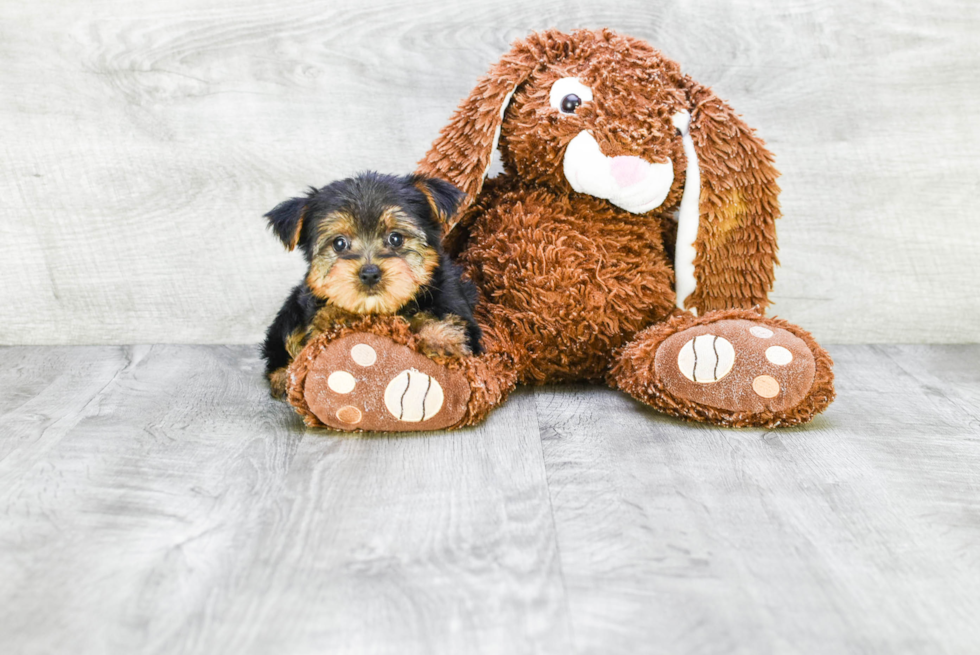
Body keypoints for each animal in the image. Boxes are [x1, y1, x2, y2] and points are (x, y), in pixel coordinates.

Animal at [264, 172, 482, 398]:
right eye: (339, 243)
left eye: (396, 238)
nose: (369, 274)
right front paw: (335, 317)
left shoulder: (453, 299)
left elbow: (455, 323)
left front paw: (442, 339)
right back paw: (282, 377)